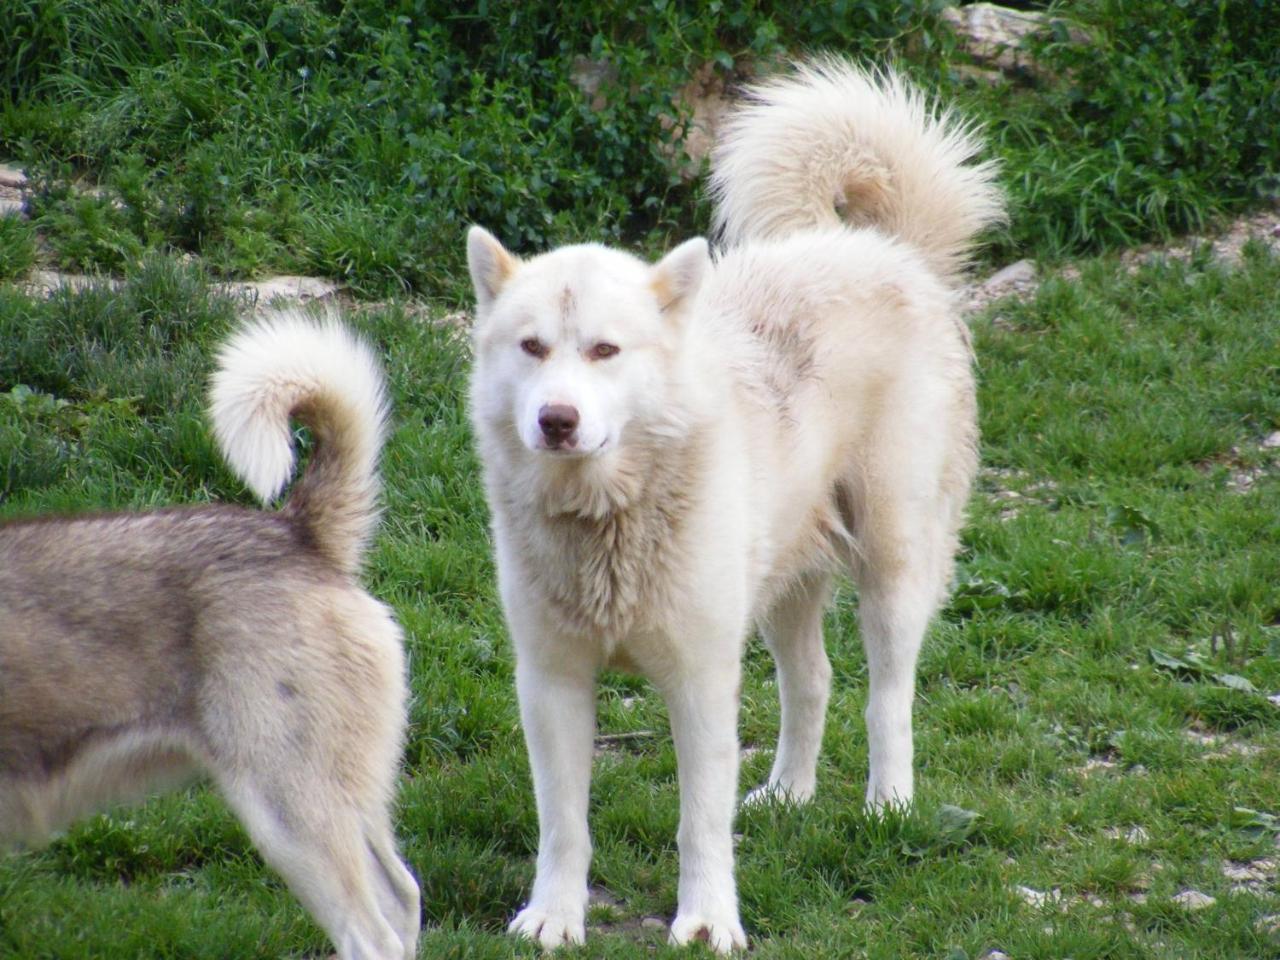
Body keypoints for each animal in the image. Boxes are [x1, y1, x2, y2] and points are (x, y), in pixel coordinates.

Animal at [465, 60, 1003, 957]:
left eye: (605, 350)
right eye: (532, 348)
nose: (556, 421)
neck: (607, 519)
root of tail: (886, 249)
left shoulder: (700, 682)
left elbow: (700, 824)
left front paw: (708, 919)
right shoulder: (550, 682)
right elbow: (564, 824)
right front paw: (554, 917)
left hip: (892, 571)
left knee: (888, 696)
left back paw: (887, 806)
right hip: (785, 585)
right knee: (813, 682)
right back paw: (788, 794)